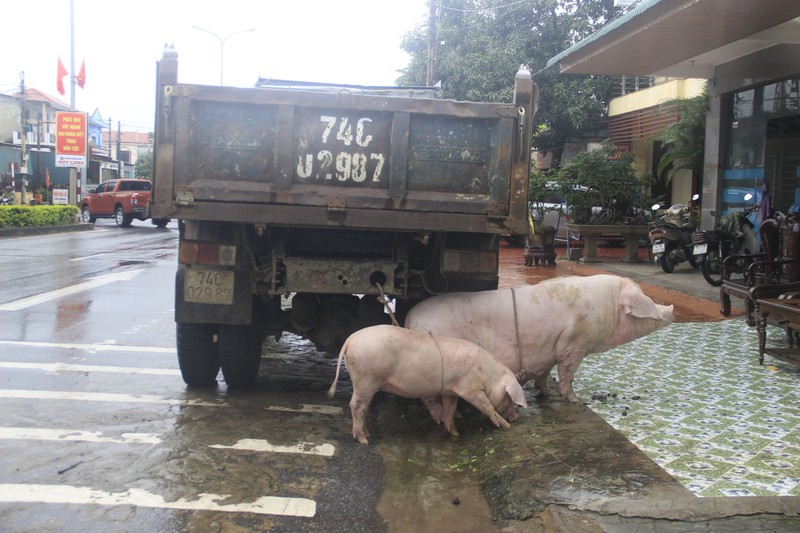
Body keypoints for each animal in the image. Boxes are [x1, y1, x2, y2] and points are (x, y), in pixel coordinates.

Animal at [324, 322, 524, 442]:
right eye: (509, 397)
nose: (515, 418)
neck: (487, 374)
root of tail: (351, 339)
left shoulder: (450, 390)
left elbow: (450, 410)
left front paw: (455, 434)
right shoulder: (470, 389)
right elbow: (487, 406)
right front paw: (504, 426)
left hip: (366, 380)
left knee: (363, 406)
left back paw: (368, 434)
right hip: (366, 378)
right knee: (356, 405)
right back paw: (364, 440)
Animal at [404, 272, 672, 402]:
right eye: (643, 297)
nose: (671, 310)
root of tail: (410, 320)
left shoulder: (551, 349)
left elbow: (545, 373)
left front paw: (548, 394)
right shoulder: (574, 346)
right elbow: (567, 374)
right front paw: (574, 400)